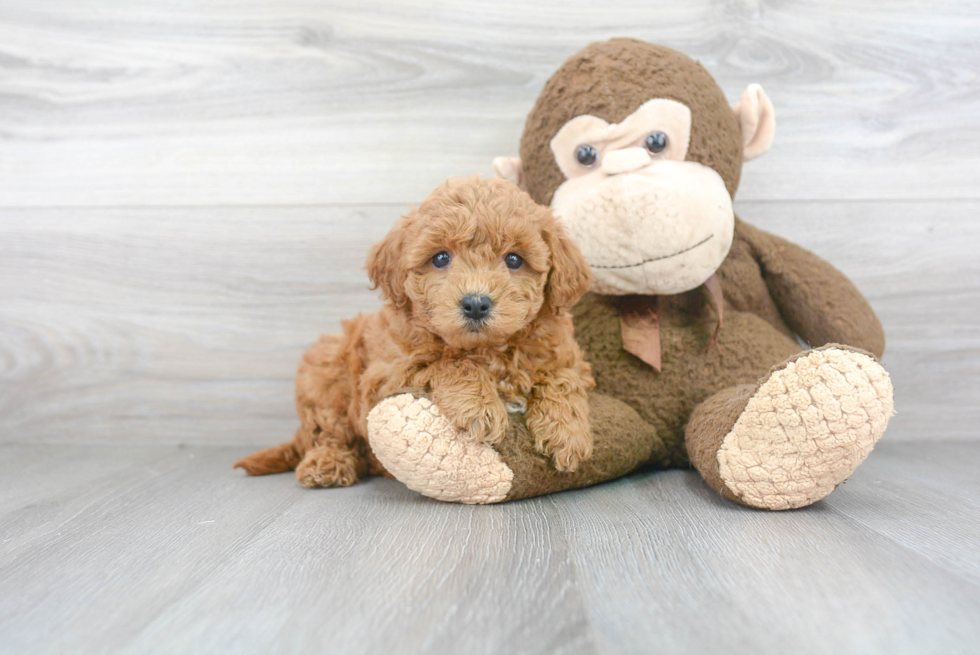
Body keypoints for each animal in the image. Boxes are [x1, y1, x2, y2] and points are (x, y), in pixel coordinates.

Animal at [234, 174, 592, 486]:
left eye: (514, 260)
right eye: (441, 258)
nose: (476, 304)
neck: (486, 349)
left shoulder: (567, 356)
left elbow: (562, 377)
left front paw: (568, 433)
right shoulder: (385, 374)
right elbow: (446, 362)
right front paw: (480, 405)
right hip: (327, 369)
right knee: (328, 432)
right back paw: (327, 464)